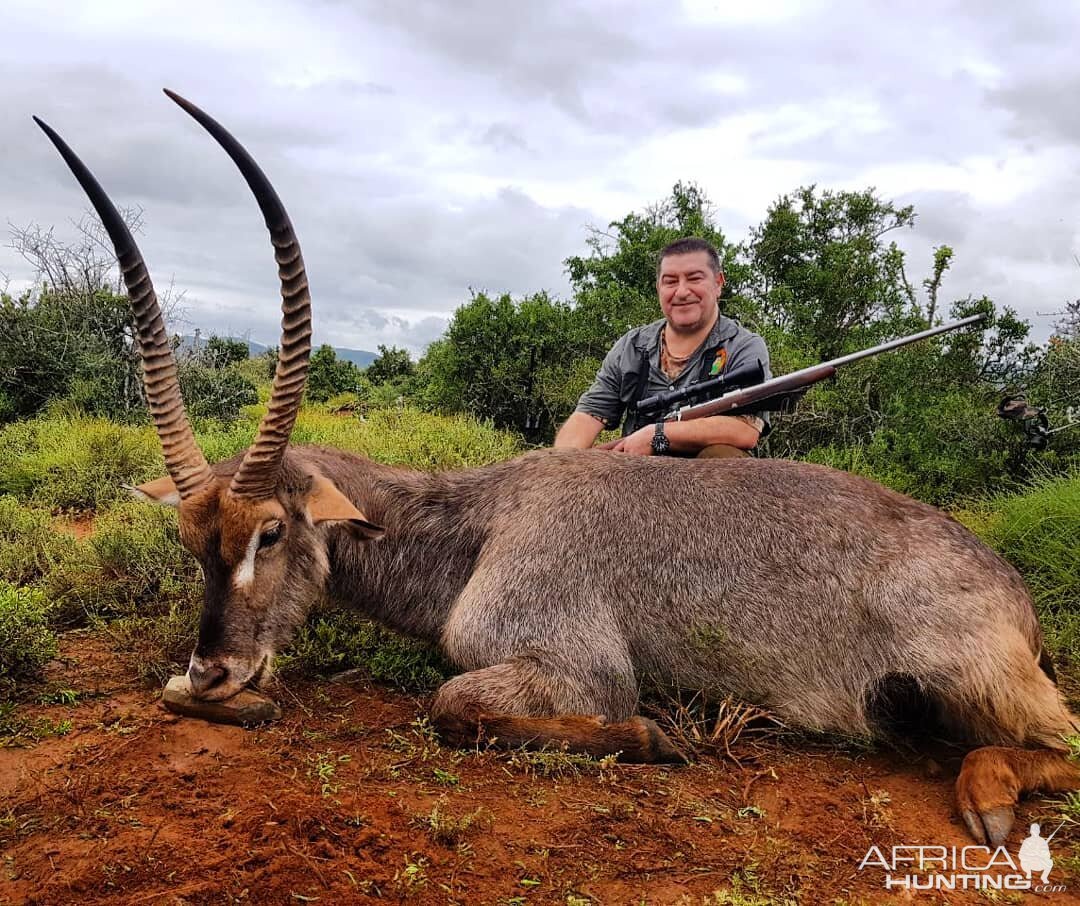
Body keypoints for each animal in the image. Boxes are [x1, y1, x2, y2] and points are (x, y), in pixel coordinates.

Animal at [39, 93, 1080, 850]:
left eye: (270, 529)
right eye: (190, 542)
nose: (214, 669)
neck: (482, 521)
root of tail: (1008, 584)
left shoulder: (573, 667)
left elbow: (455, 704)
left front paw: (654, 738)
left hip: (973, 678)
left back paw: (986, 796)